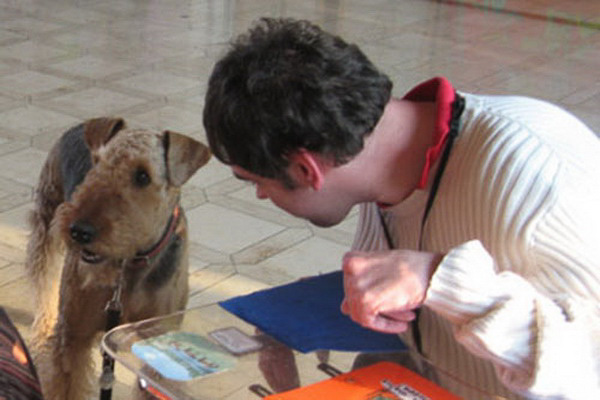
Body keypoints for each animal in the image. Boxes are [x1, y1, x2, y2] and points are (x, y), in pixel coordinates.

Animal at [25, 117, 210, 400]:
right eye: (97, 164)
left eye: (143, 176)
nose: (79, 231)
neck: (129, 266)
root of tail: (81, 125)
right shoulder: (74, 336)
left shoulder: (158, 355)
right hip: (46, 224)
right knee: (45, 282)